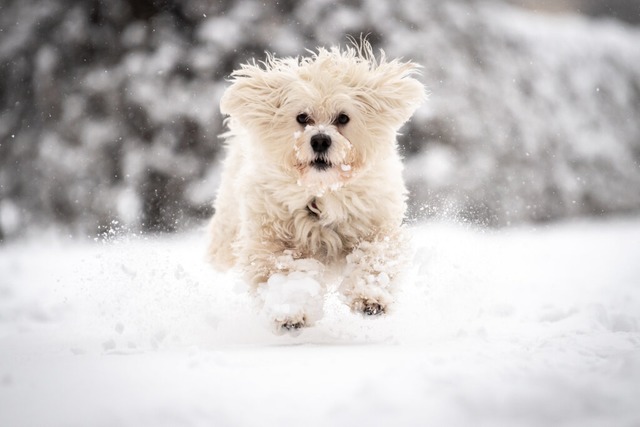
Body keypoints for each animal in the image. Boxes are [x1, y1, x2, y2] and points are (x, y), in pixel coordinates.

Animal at [209, 41, 424, 334]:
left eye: (343, 118)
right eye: (302, 117)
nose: (320, 139)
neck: (323, 191)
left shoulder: (376, 225)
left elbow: (374, 257)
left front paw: (371, 297)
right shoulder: (273, 239)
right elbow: (285, 271)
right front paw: (291, 311)